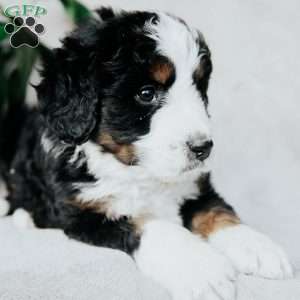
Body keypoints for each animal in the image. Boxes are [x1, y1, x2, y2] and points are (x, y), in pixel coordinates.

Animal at [0, 7, 290, 300]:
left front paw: (256, 245)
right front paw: (201, 268)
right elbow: (151, 224)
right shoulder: (83, 211)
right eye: (146, 93)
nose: (203, 148)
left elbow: (215, 209)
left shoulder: (194, 185)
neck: (136, 172)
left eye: (200, 88)